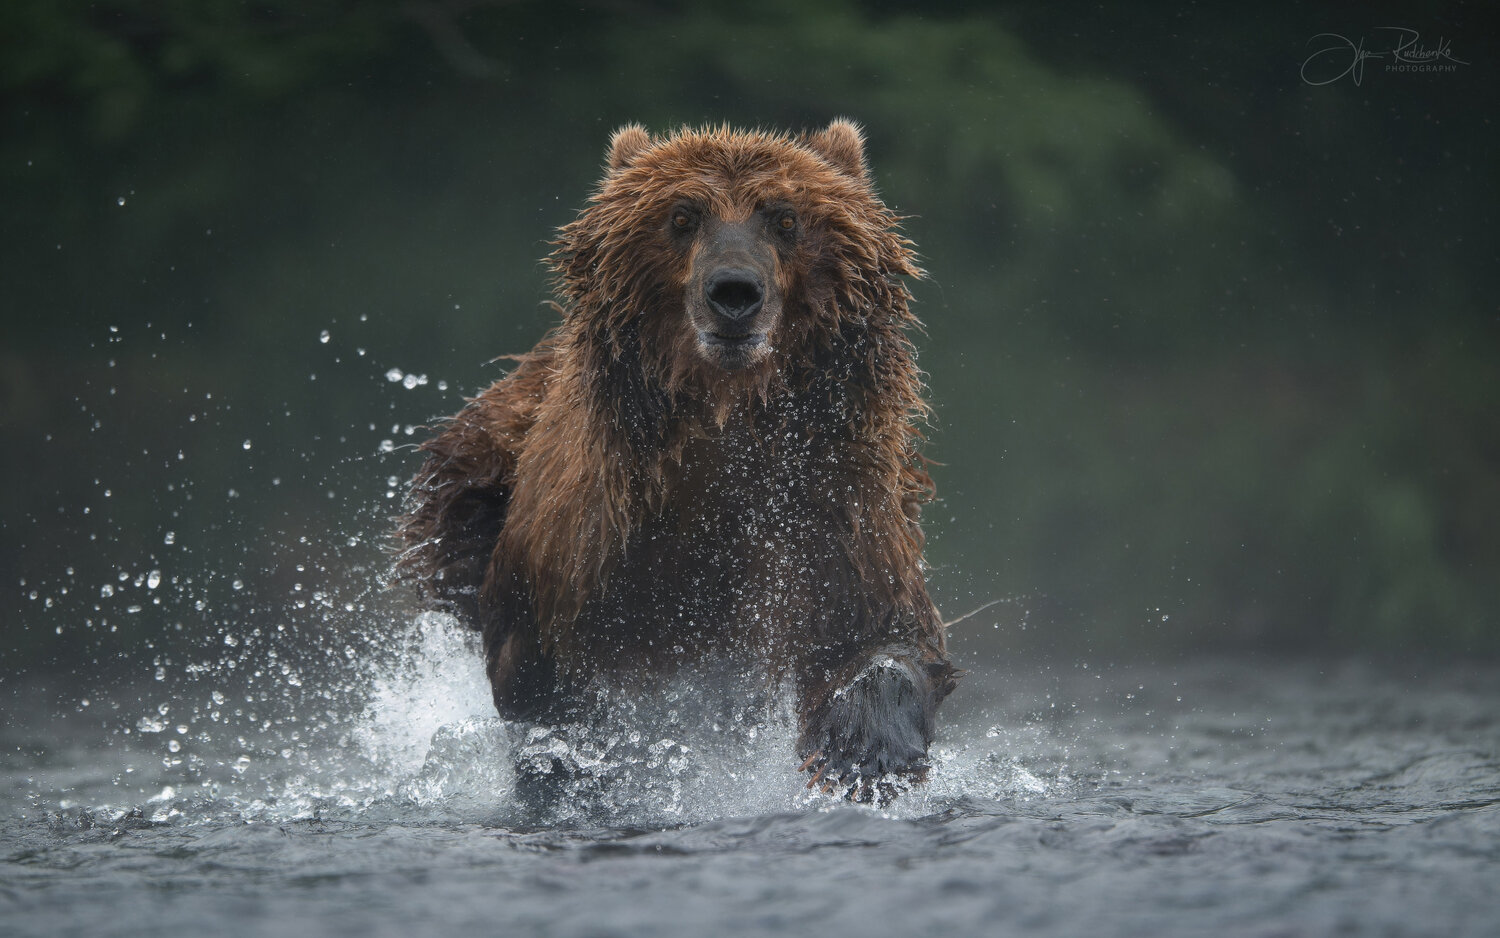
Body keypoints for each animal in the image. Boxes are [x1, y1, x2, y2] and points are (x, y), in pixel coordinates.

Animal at [397, 120, 956, 802]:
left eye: (785, 217)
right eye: (683, 216)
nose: (734, 292)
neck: (726, 423)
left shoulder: (831, 506)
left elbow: (877, 630)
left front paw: (863, 754)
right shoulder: (594, 542)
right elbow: (550, 685)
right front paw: (583, 765)